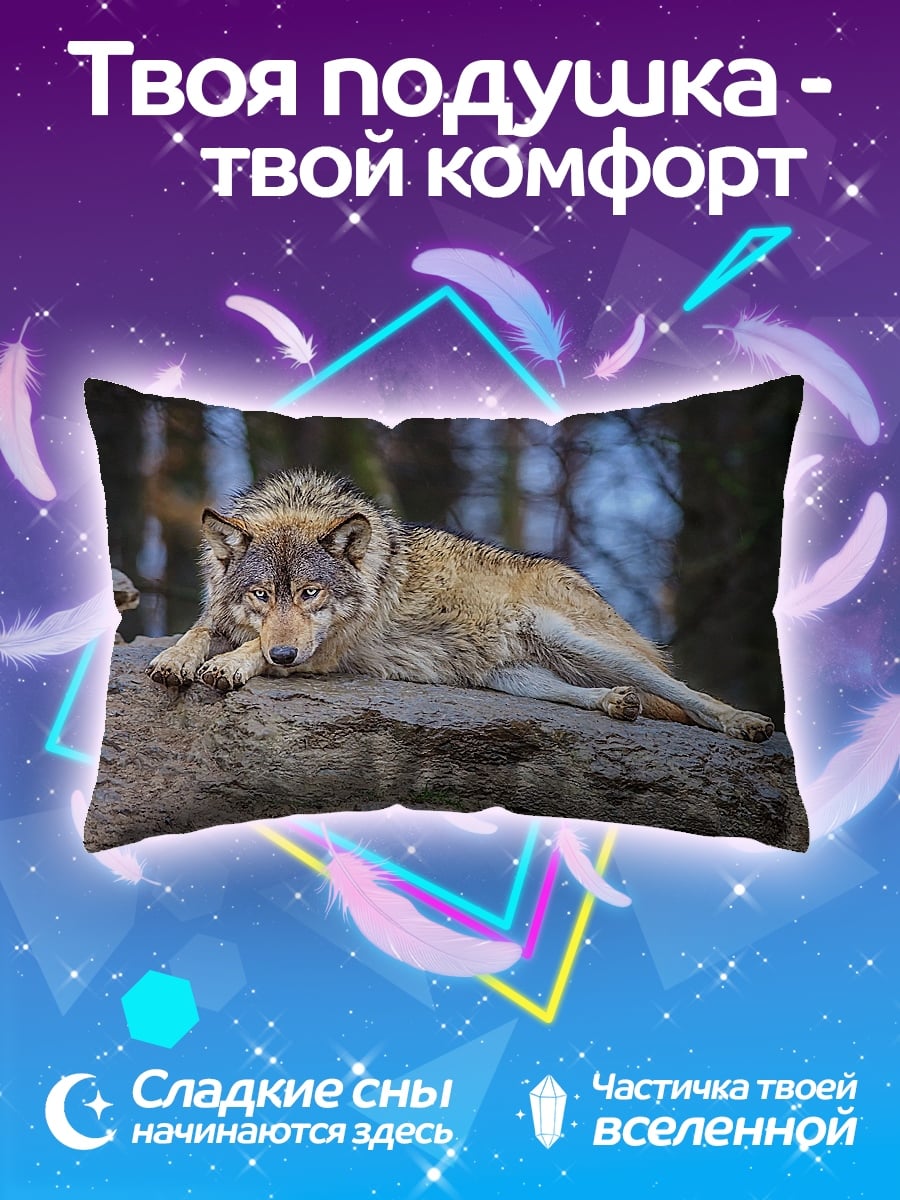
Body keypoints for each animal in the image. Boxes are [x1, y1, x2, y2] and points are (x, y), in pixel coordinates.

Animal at [147, 469, 775, 742]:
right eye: (261, 594)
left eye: (310, 593)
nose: (283, 656)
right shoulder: (225, 614)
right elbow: (199, 631)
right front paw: (176, 658)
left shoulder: (325, 652)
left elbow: (249, 646)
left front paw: (229, 665)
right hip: (511, 678)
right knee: (591, 695)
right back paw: (615, 704)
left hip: (583, 644)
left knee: (686, 695)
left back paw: (743, 723)